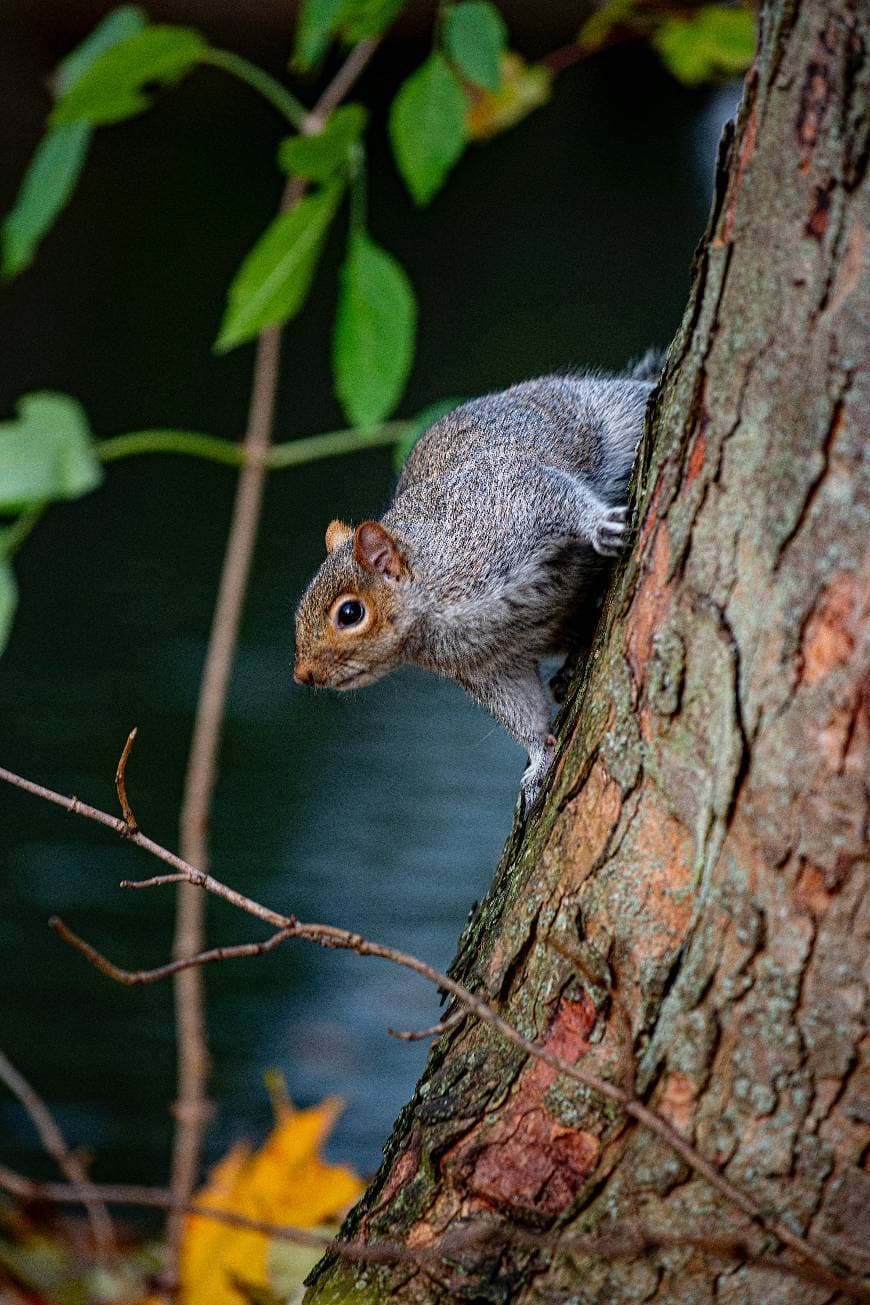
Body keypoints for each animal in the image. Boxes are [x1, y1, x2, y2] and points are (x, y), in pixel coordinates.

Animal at [292, 354, 660, 803]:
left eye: (349, 614)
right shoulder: (489, 666)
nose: (304, 675)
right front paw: (539, 763)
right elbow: (522, 713)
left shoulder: (508, 505)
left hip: (610, 415)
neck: (435, 603)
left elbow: (558, 497)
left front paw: (600, 527)